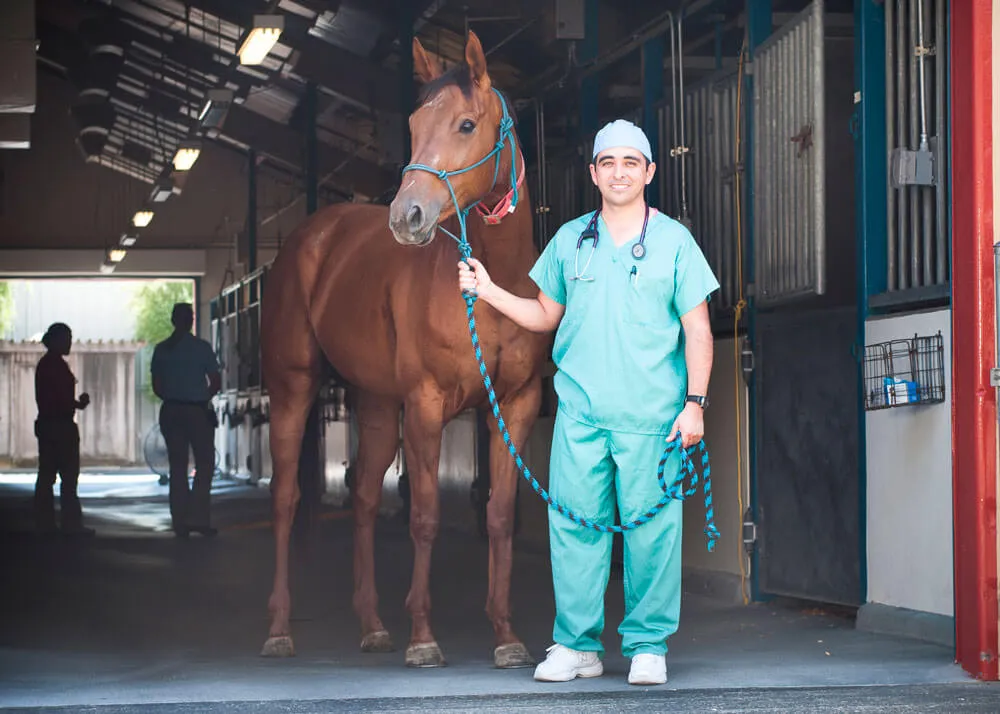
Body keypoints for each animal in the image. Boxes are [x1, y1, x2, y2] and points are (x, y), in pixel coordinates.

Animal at [258, 31, 549, 669]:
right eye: (414, 124)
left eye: (466, 124)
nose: (405, 216)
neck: (491, 286)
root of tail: (311, 235)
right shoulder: (425, 405)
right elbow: (425, 516)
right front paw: (423, 638)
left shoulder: (514, 406)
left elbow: (499, 516)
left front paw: (507, 635)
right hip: (293, 385)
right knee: (285, 499)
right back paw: (280, 629)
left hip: (373, 402)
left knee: (365, 498)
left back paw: (372, 626)